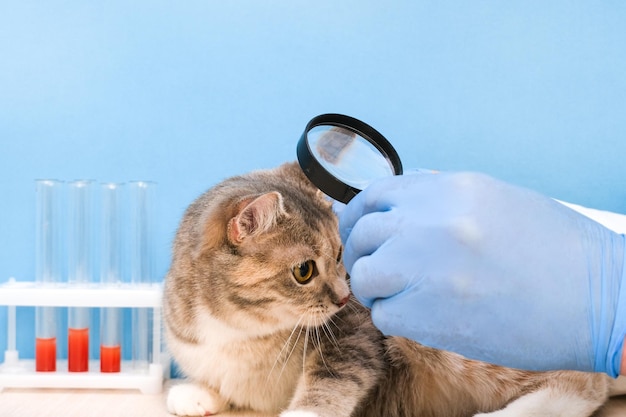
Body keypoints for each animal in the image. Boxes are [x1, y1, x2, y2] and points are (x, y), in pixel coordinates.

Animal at [161, 162, 620, 416]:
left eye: (340, 253)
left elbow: (334, 375)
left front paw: (302, 413)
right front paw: (195, 393)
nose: (345, 296)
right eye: (304, 270)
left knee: (583, 384)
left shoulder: (356, 333)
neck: (241, 333)